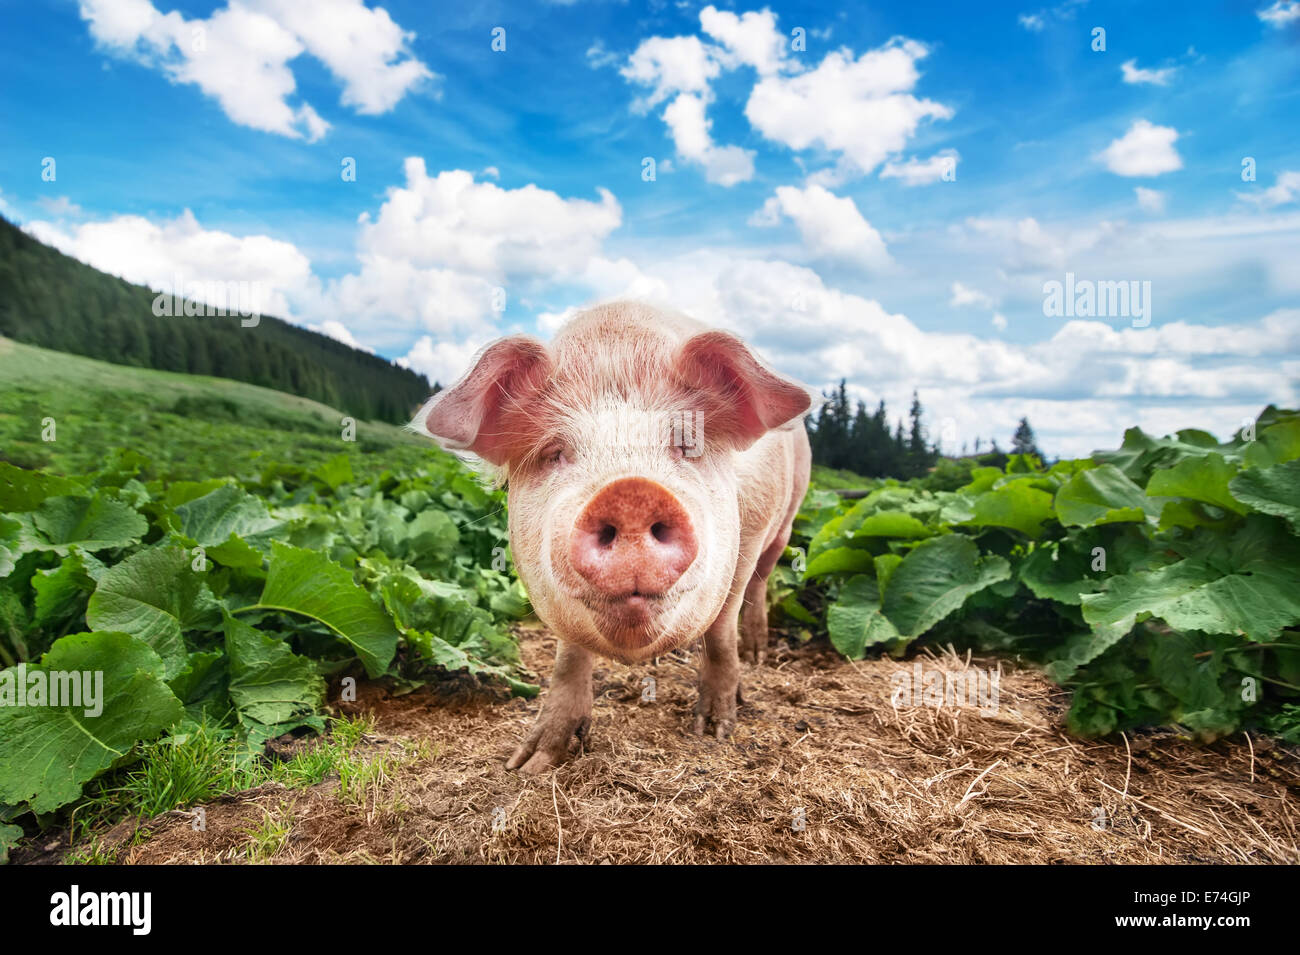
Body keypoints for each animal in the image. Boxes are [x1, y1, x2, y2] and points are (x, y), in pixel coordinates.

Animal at [414, 301, 812, 773]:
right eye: (554, 452)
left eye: (687, 444)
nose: (631, 493)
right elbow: (568, 657)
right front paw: (528, 765)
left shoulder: (748, 537)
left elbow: (720, 628)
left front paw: (715, 731)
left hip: (786, 521)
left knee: (761, 582)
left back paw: (755, 654)